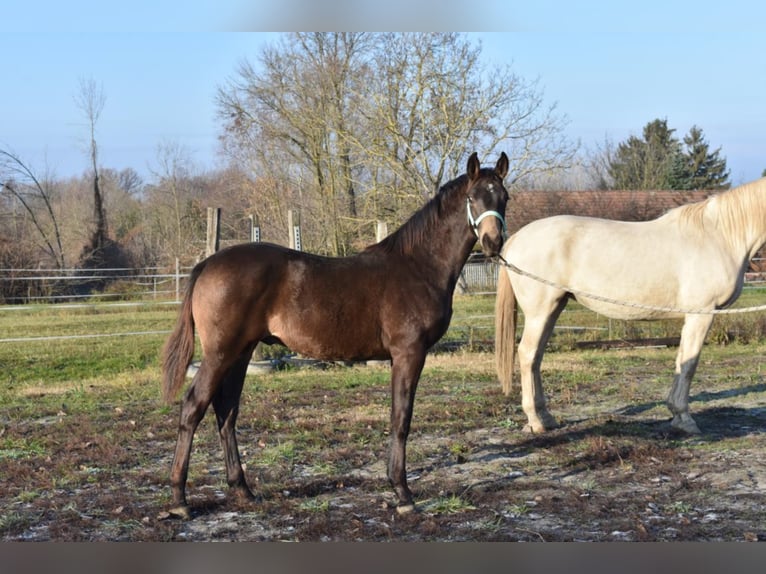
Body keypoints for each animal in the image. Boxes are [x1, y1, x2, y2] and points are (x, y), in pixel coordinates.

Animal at [162, 152, 509, 517]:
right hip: (220, 353)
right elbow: (401, 418)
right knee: (193, 408)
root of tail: (207, 264)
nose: (493, 242)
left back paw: (242, 489)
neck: (418, 267)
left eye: (503, 196)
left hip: (241, 353)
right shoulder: (408, 353)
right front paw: (402, 493)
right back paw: (179, 500)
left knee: (226, 412)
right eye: (473, 197)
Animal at [495, 177, 766, 436]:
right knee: (528, 354)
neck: (719, 235)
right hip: (540, 311)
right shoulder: (701, 313)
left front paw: (676, 415)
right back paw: (535, 421)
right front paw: (685, 420)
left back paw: (546, 417)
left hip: (553, 309)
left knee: (537, 357)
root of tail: (514, 240)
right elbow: (689, 364)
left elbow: (681, 360)